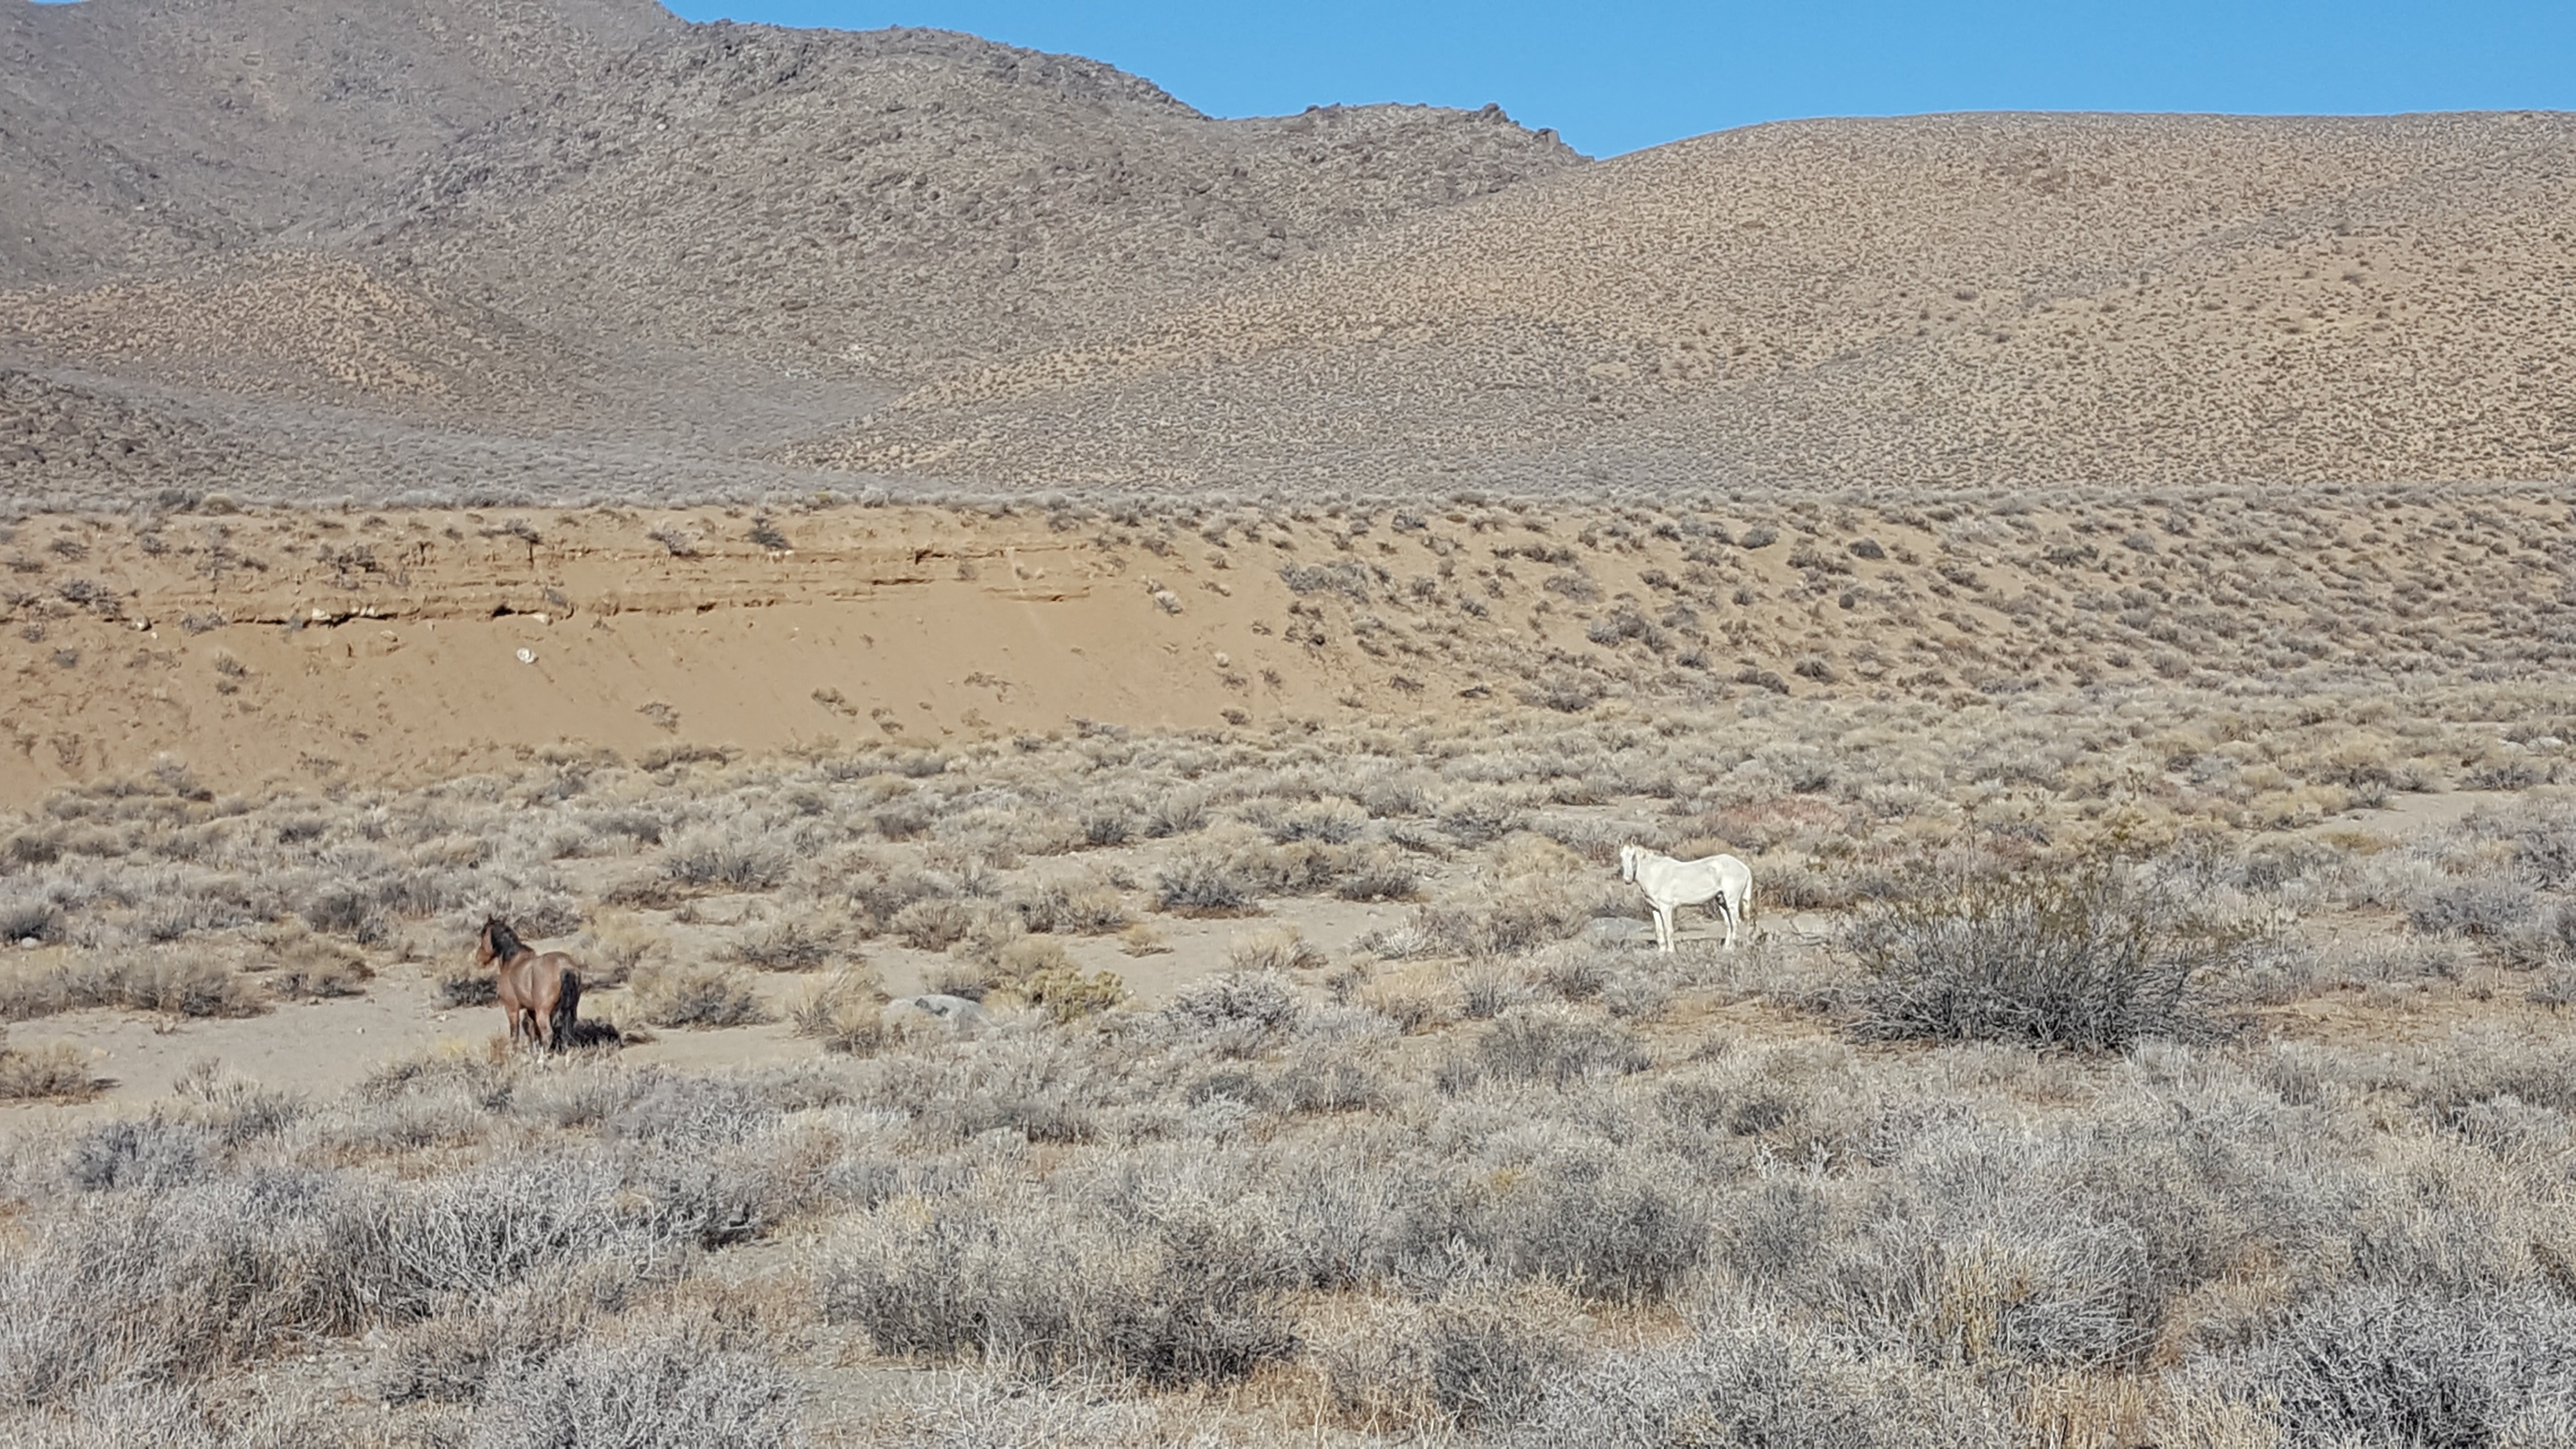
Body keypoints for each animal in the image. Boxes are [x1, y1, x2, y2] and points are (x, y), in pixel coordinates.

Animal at [479, 913, 584, 1046]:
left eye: (483, 933)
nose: (479, 959)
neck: (513, 962)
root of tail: (565, 967)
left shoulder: (512, 1008)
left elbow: (515, 1035)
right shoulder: (531, 1010)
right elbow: (533, 1032)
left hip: (543, 1012)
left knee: (548, 1034)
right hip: (569, 1010)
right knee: (567, 1033)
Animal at [1617, 840, 1762, 954]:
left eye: (1633, 857)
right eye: (1621, 857)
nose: (1627, 880)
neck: (1656, 873)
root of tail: (1744, 867)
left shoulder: (1666, 907)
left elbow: (1669, 929)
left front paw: (1671, 951)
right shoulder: (1655, 909)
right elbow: (1659, 931)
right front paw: (1662, 952)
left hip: (1732, 901)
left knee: (1736, 922)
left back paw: (1732, 948)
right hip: (1722, 901)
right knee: (1729, 924)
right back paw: (1727, 948)